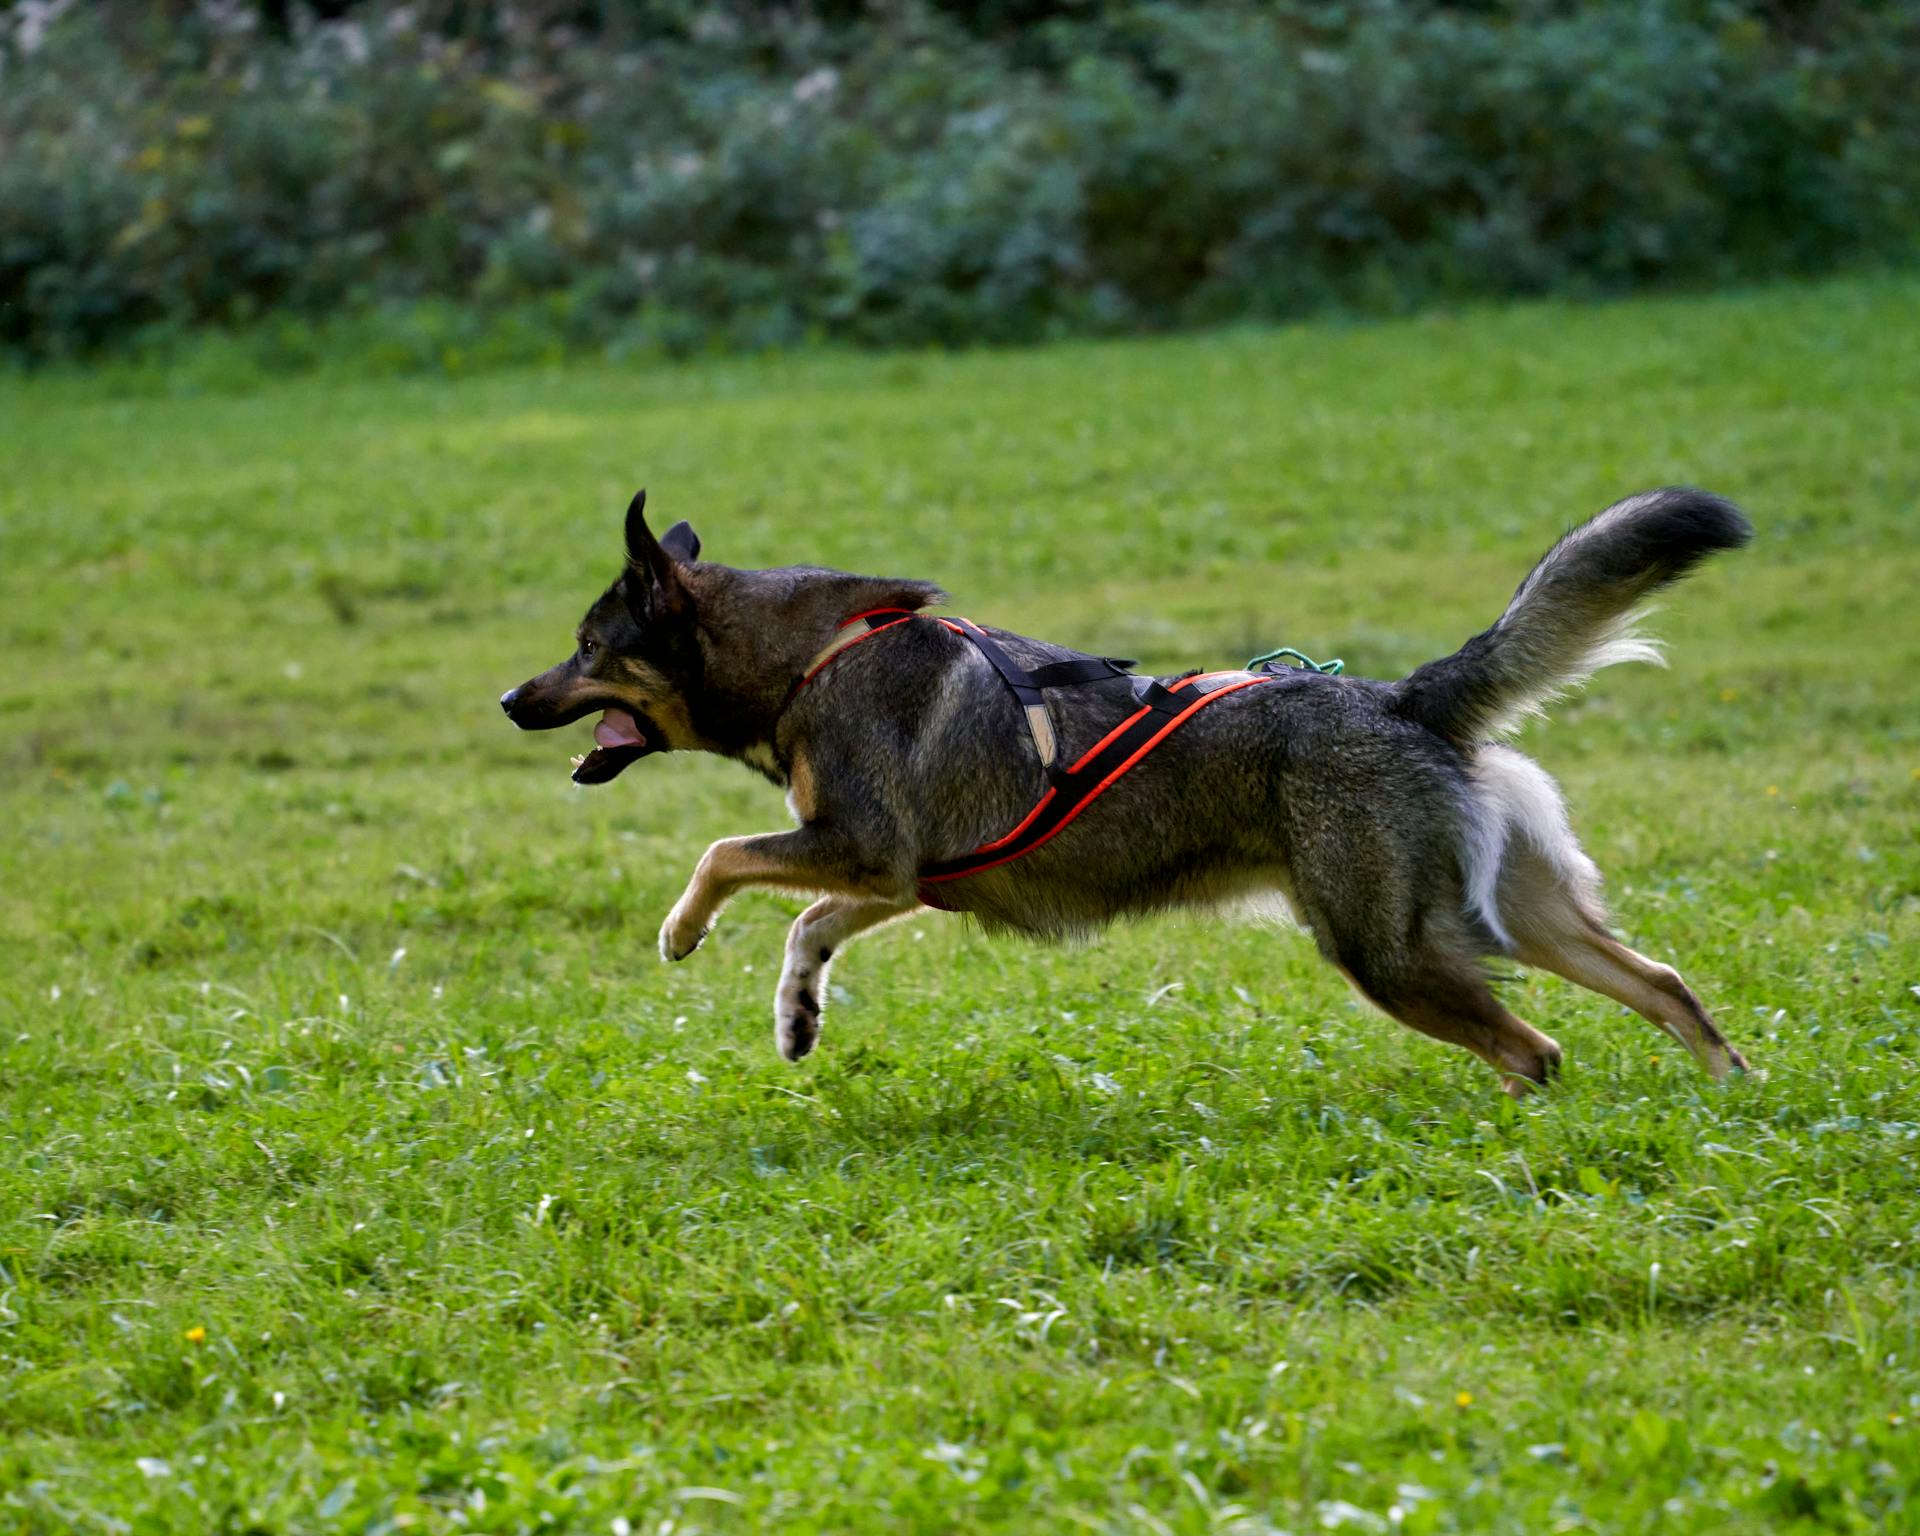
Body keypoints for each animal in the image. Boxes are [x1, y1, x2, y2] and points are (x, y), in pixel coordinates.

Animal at [499, 485, 1758, 1098]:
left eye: (588, 646)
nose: (510, 699)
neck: (813, 656)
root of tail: (1406, 700)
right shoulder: (895, 875)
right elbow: (807, 924)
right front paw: (796, 1016)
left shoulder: (861, 844)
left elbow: (721, 855)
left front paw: (680, 933)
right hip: (1524, 917)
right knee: (1664, 988)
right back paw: (1730, 1099)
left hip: (1388, 950)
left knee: (1536, 1051)